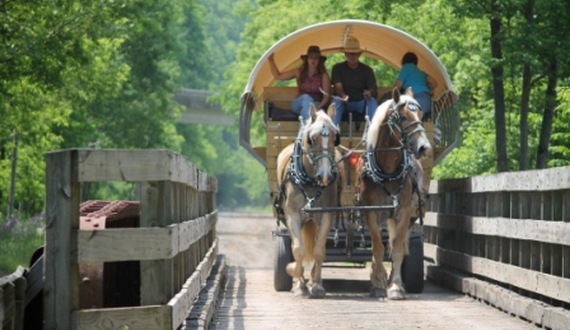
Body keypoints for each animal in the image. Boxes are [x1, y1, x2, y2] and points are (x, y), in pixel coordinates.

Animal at [274, 104, 342, 300]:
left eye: (335, 137)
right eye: (311, 139)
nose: (325, 176)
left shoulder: (326, 214)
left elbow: (319, 250)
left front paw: (317, 285)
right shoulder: (292, 215)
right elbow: (298, 250)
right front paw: (295, 277)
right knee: (294, 246)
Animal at [358, 87, 428, 300]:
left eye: (421, 114)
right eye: (403, 117)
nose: (424, 147)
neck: (388, 171)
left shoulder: (403, 212)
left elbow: (396, 248)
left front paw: (396, 286)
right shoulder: (371, 212)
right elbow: (378, 248)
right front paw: (378, 284)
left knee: (400, 244)